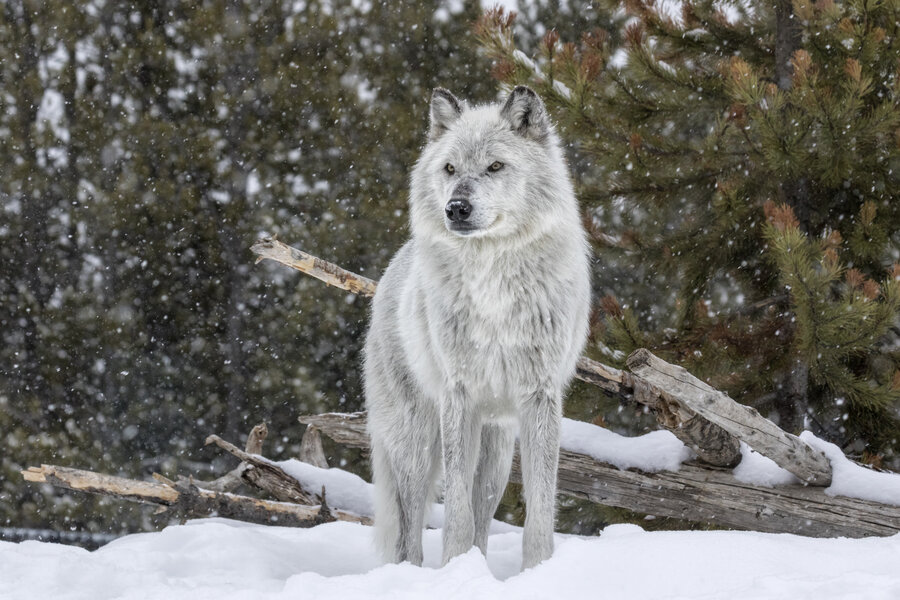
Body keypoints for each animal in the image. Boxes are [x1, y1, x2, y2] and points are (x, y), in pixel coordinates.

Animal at [362, 85, 596, 572]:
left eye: (495, 166)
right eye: (450, 169)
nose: (456, 208)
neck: (494, 282)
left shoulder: (539, 396)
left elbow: (540, 508)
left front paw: (537, 571)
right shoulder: (460, 395)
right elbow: (455, 513)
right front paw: (455, 569)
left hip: (498, 450)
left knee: (484, 509)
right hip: (416, 442)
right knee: (410, 529)